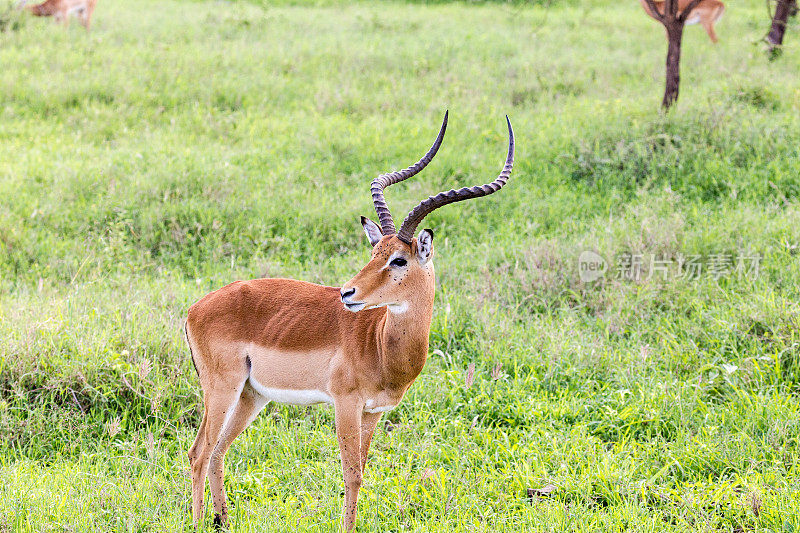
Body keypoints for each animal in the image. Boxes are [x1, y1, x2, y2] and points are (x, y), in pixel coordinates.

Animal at [185, 112, 516, 528]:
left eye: (398, 259)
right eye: (375, 252)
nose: (347, 293)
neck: (380, 344)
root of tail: (195, 309)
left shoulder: (373, 412)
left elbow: (362, 469)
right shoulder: (345, 404)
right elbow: (351, 473)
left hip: (250, 395)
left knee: (217, 452)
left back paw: (224, 521)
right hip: (222, 389)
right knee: (198, 452)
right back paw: (198, 522)